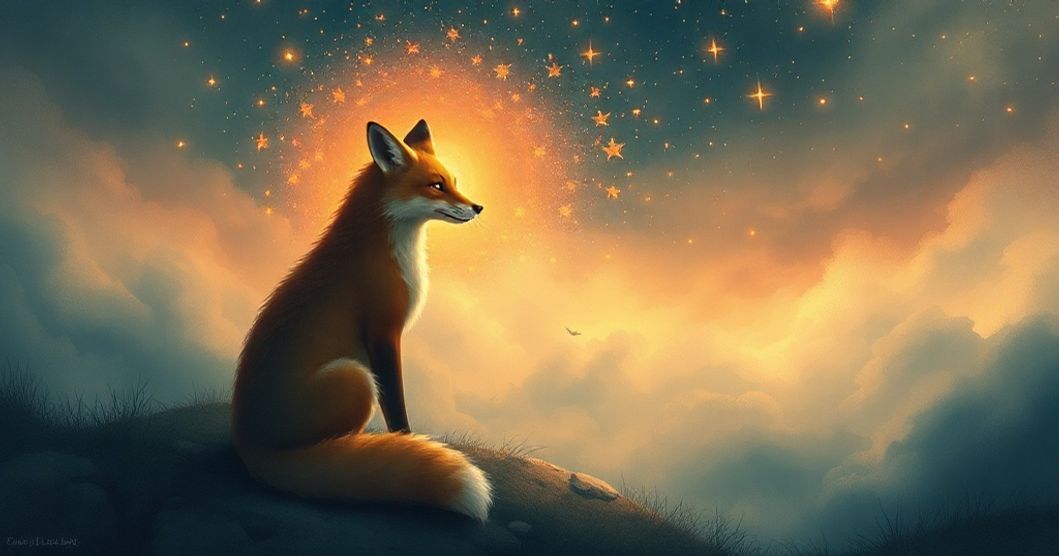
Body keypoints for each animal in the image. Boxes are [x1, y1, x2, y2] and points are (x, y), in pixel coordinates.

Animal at [231, 120, 492, 521]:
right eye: (436, 185)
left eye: (454, 180)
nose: (477, 207)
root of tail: (247, 444)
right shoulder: (384, 332)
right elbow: (396, 406)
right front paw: (405, 441)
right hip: (356, 377)